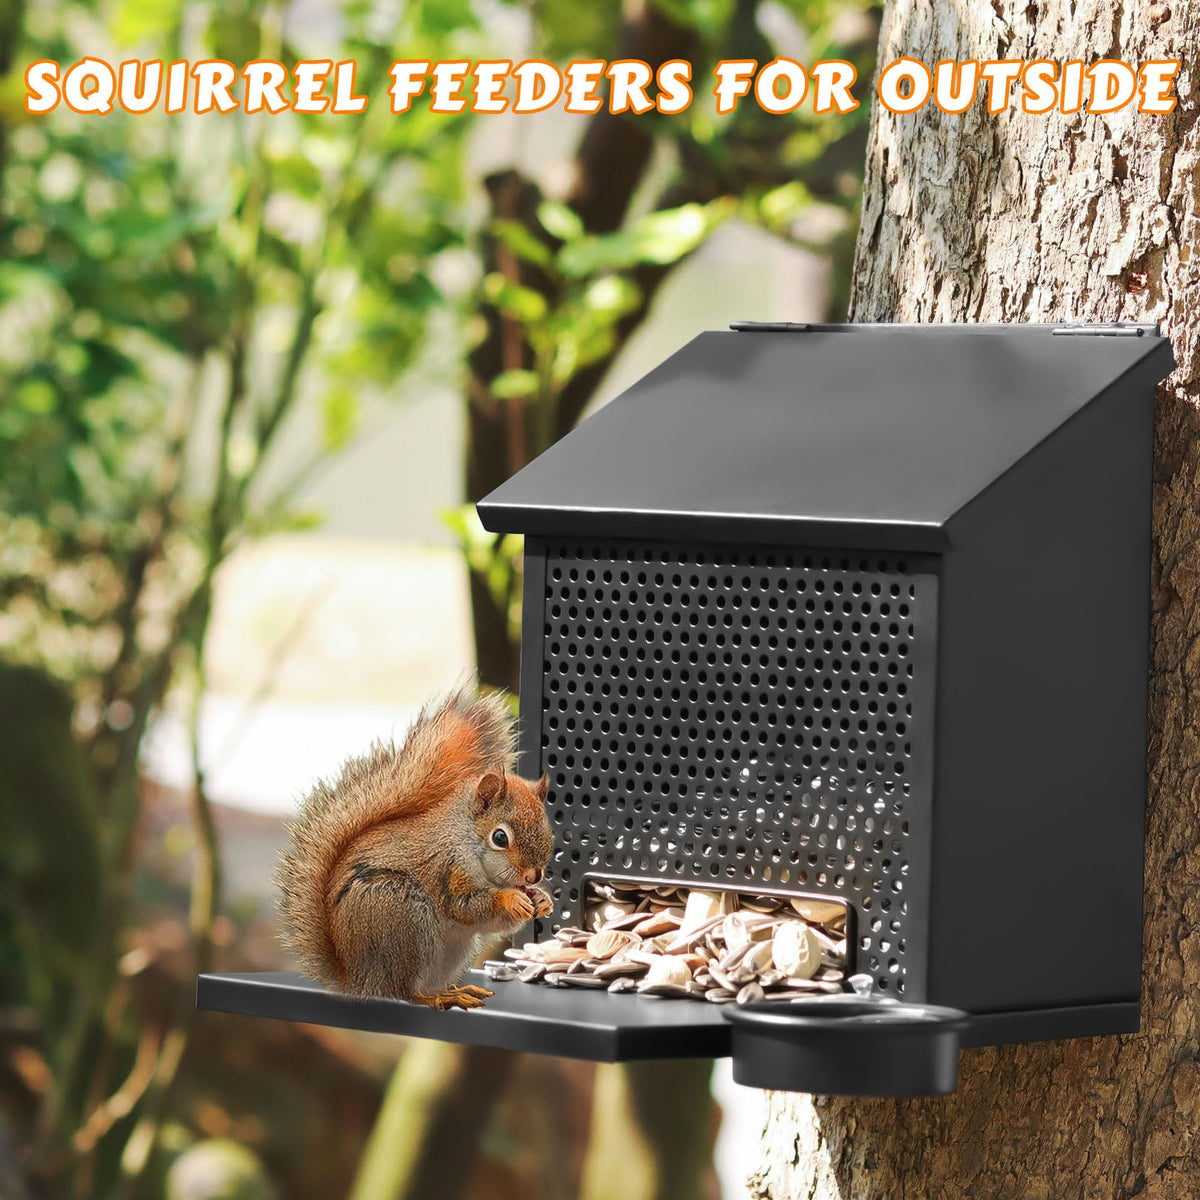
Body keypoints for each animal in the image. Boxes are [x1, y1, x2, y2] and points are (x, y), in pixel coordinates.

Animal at [277, 689, 554, 1011]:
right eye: (499, 837)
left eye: (548, 828)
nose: (533, 876)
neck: (464, 838)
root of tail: (356, 979)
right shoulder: (446, 868)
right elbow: (466, 907)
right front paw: (510, 898)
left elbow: (495, 924)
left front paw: (542, 899)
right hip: (399, 911)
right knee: (403, 990)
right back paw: (436, 996)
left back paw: (452, 991)